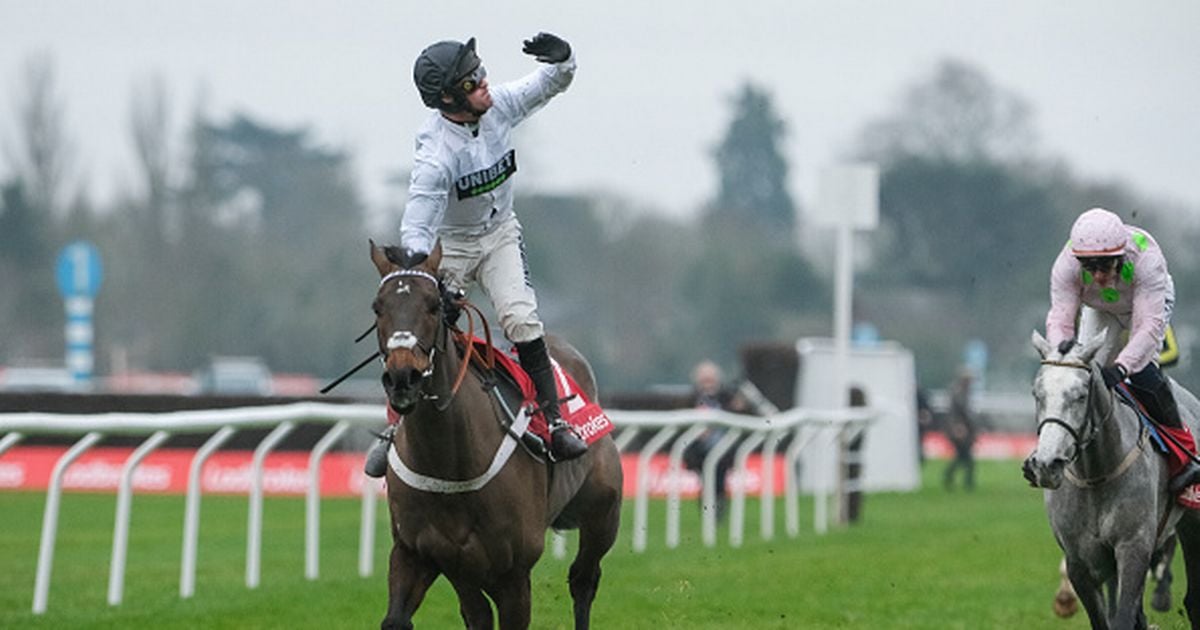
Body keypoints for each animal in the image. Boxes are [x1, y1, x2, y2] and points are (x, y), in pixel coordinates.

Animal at [369, 241, 624, 628]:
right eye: (378, 307)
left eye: (433, 305)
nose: (403, 377)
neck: (449, 459)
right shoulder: (418, 553)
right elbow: (398, 619)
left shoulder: (514, 573)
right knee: (477, 611)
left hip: (602, 514)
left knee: (584, 579)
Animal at [1022, 328, 1200, 628]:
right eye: (1038, 394)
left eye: (1081, 395)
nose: (1046, 464)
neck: (1097, 475)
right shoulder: (1080, 560)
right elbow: (1104, 618)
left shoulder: (1134, 547)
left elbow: (1124, 616)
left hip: (1192, 522)